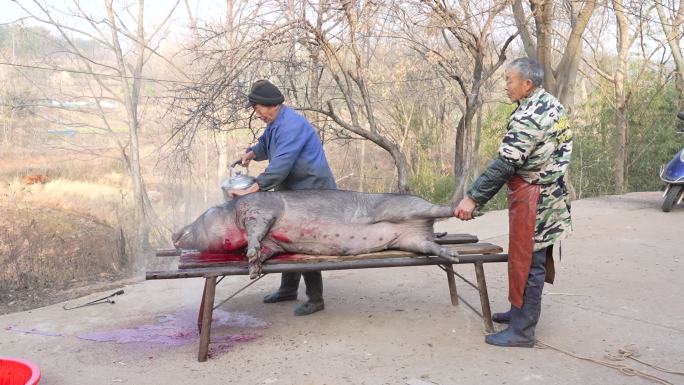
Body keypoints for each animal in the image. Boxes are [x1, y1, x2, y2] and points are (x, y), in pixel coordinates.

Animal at [172, 190, 460, 278]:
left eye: (203, 214)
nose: (174, 233)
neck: (232, 214)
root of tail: (425, 228)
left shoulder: (260, 209)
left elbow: (256, 230)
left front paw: (250, 254)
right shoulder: (274, 244)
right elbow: (265, 249)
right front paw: (253, 269)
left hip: (407, 208)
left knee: (440, 208)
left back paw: (464, 210)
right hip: (412, 240)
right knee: (430, 246)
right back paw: (453, 255)